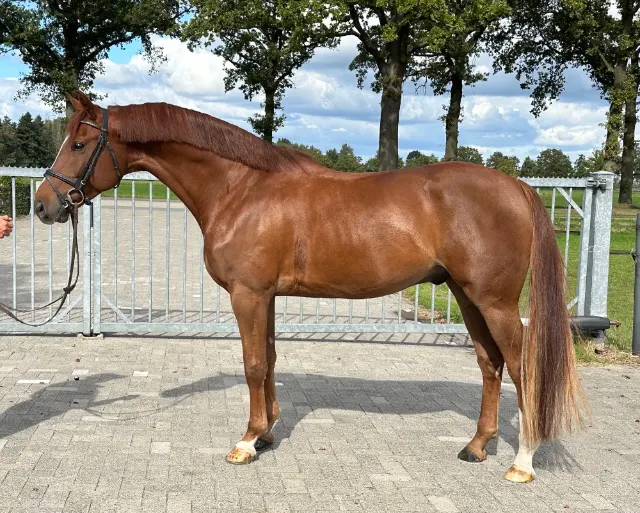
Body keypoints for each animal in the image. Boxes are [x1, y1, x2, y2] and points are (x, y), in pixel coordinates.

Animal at [34, 91, 586, 483]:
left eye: (79, 144)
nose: (43, 204)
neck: (241, 189)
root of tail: (517, 186)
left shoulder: (247, 294)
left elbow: (253, 364)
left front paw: (246, 442)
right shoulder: (266, 297)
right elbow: (270, 360)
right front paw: (267, 435)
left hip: (495, 302)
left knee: (521, 366)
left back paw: (522, 462)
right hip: (466, 296)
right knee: (490, 364)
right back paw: (477, 446)